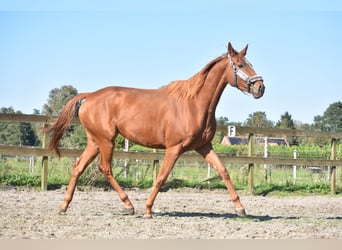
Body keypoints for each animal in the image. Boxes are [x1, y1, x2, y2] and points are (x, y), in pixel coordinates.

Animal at [46, 42, 264, 218]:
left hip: (95, 142)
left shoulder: (204, 146)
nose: (260, 88)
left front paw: (240, 209)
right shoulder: (174, 148)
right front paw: (148, 210)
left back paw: (64, 206)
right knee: (104, 168)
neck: (194, 104)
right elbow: (161, 177)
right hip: (106, 141)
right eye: (241, 65)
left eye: (250, 63)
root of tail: (89, 96)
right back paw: (129, 206)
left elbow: (223, 171)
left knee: (78, 166)